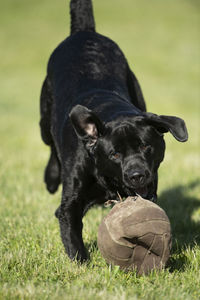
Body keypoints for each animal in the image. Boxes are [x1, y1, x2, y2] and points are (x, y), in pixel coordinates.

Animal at [39, 0, 188, 262]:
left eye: (145, 146)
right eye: (115, 155)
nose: (137, 175)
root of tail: (84, 31)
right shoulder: (69, 204)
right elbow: (72, 235)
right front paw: (83, 263)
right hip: (44, 120)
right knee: (50, 147)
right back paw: (51, 178)